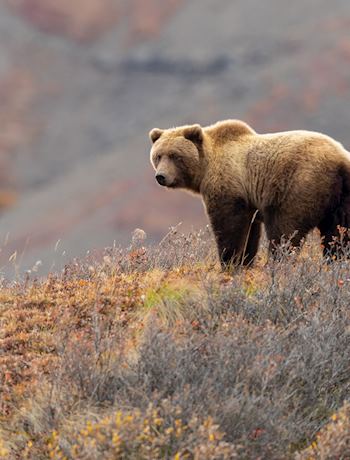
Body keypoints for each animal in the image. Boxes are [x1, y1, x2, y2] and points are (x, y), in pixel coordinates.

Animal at [149, 120, 350, 268]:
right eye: (158, 155)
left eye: (175, 156)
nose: (161, 176)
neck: (205, 167)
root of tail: (341, 159)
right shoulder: (249, 201)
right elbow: (250, 233)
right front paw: (245, 262)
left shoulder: (229, 186)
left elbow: (229, 226)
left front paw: (230, 262)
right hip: (340, 196)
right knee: (339, 232)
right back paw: (337, 262)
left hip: (299, 185)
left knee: (284, 229)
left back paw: (278, 263)